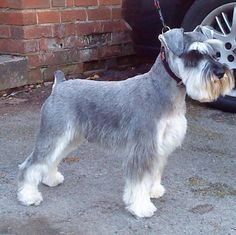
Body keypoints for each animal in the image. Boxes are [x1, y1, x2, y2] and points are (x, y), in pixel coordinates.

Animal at [18, 26, 234, 218]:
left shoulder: (159, 146)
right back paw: (28, 195)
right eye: (193, 54)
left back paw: (50, 179)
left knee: (51, 159)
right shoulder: (143, 147)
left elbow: (154, 172)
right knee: (32, 164)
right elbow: (139, 181)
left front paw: (153, 190)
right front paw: (141, 207)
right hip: (53, 134)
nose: (220, 72)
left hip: (69, 138)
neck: (161, 91)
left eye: (215, 53)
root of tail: (59, 85)